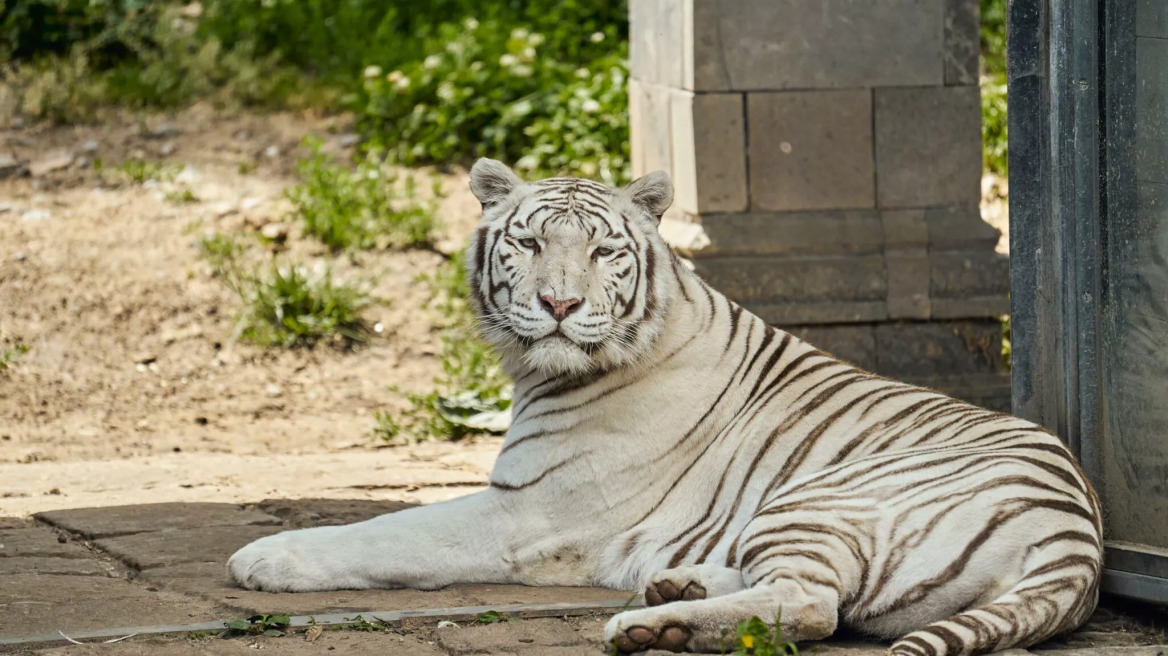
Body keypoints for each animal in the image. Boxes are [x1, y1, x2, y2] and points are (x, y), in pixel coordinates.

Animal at [230, 159, 1102, 653]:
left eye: (603, 250)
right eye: (529, 244)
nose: (557, 304)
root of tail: (1078, 542)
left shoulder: (524, 516)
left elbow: (386, 531)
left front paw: (265, 559)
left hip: (817, 498)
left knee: (812, 605)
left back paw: (654, 626)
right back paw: (675, 589)